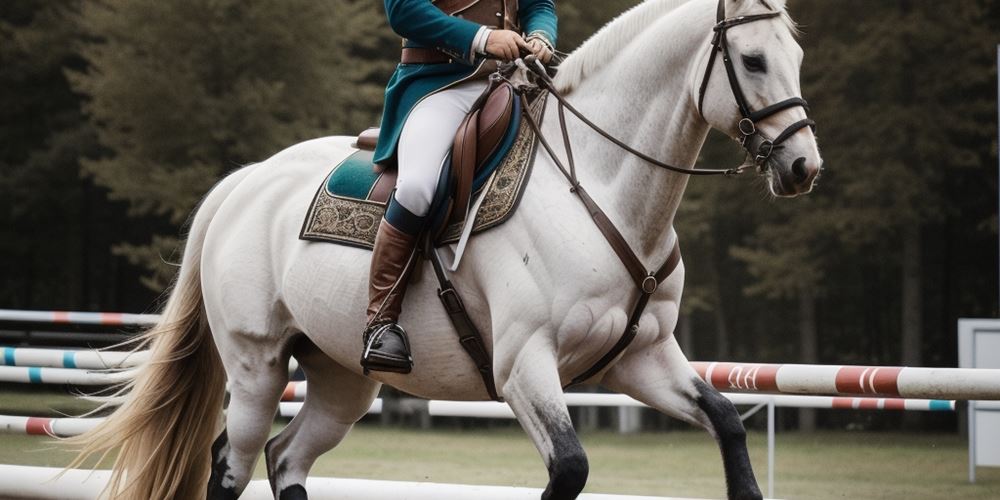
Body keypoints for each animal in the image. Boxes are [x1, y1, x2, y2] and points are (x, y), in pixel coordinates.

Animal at [70, 0, 820, 498]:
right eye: (753, 60)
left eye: (797, 57)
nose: (803, 167)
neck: (595, 184)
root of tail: (245, 183)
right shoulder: (523, 366)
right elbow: (570, 468)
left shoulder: (642, 359)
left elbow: (727, 424)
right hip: (256, 368)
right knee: (233, 464)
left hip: (342, 378)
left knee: (287, 457)